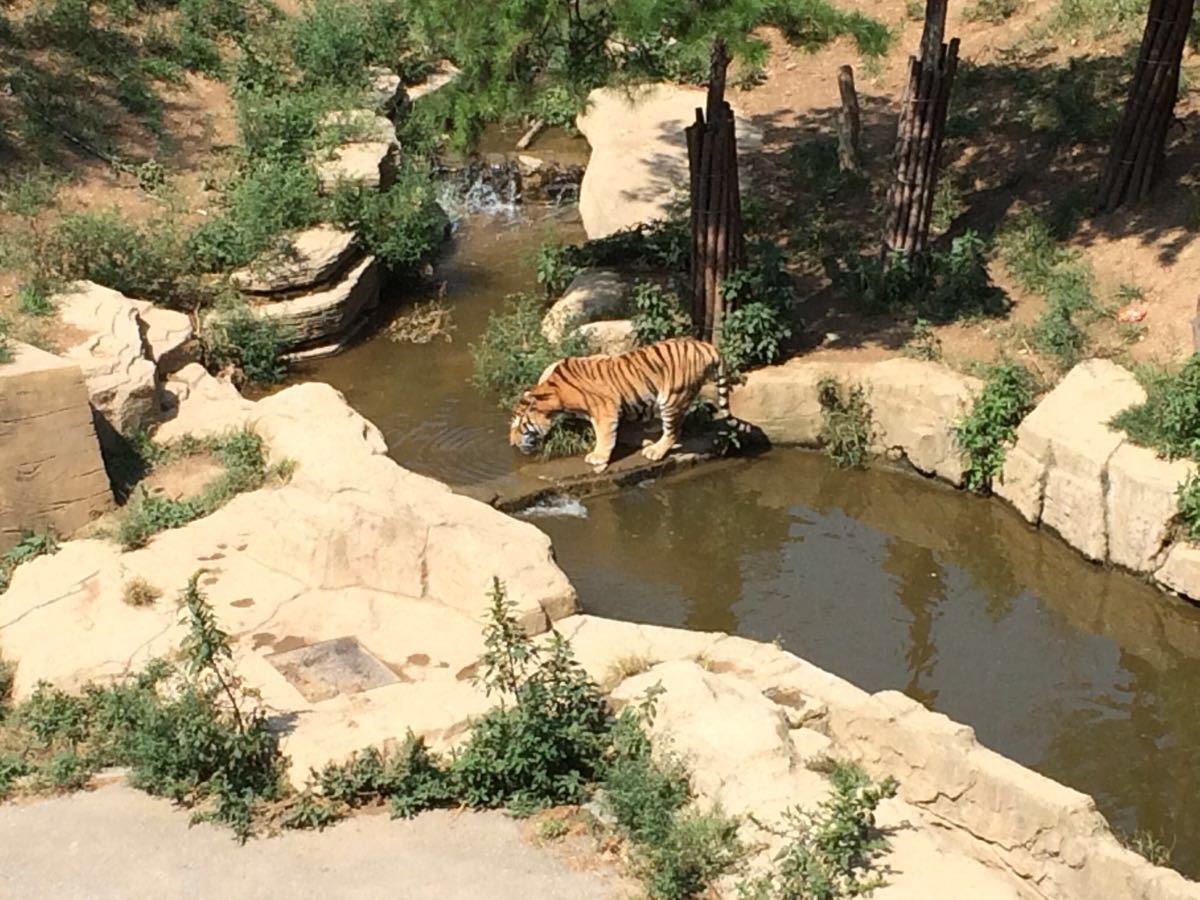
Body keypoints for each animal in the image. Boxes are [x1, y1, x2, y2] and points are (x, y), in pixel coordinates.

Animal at [511, 336, 744, 472]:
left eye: (519, 426)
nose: (512, 444)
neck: (555, 395)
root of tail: (706, 346)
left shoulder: (605, 409)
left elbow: (604, 436)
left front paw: (598, 457)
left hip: (672, 398)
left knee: (674, 430)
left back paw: (655, 450)